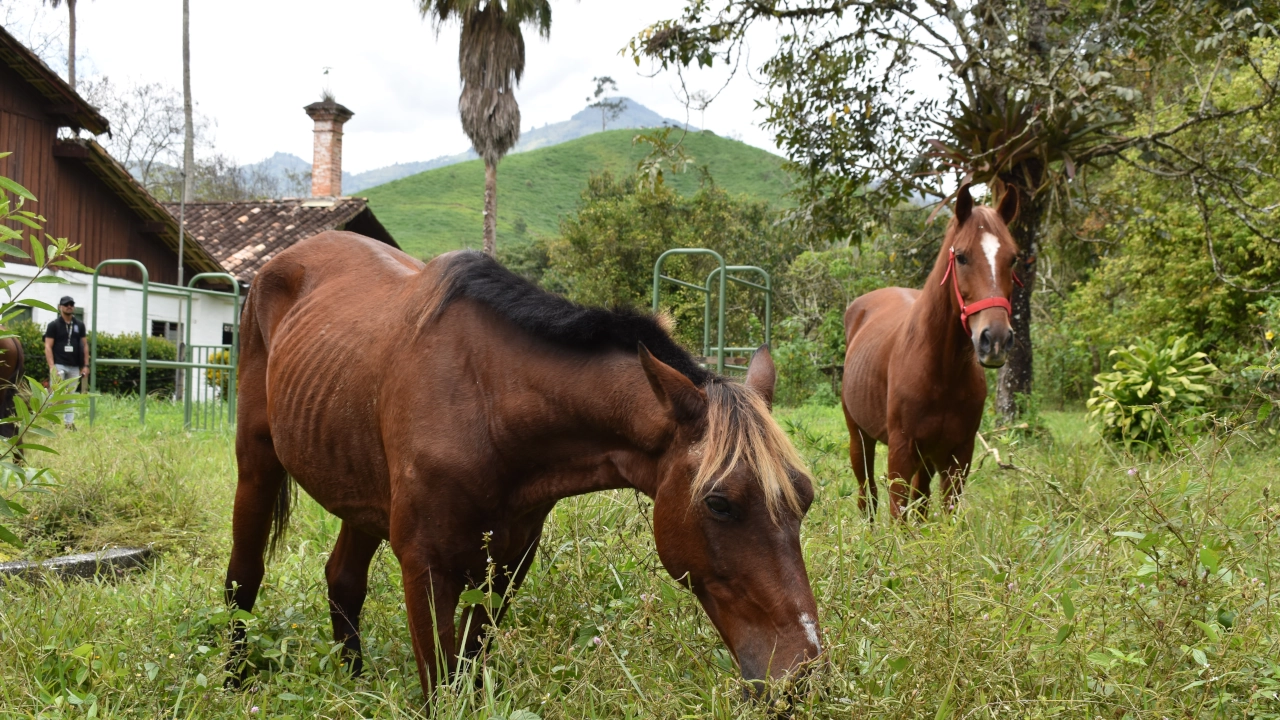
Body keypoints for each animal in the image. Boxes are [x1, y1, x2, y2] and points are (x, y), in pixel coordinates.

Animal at [224, 231, 822, 701]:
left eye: (806, 498)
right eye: (719, 504)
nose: (804, 673)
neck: (488, 401)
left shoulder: (507, 565)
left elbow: (467, 669)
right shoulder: (425, 565)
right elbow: (440, 685)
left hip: (362, 492)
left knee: (343, 579)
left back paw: (353, 680)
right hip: (257, 464)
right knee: (243, 578)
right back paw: (233, 681)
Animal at [841, 185, 1019, 520]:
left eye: (1013, 259)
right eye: (961, 257)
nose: (996, 340)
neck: (941, 370)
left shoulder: (958, 454)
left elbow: (943, 516)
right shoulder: (901, 450)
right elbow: (898, 513)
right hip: (859, 435)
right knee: (867, 494)